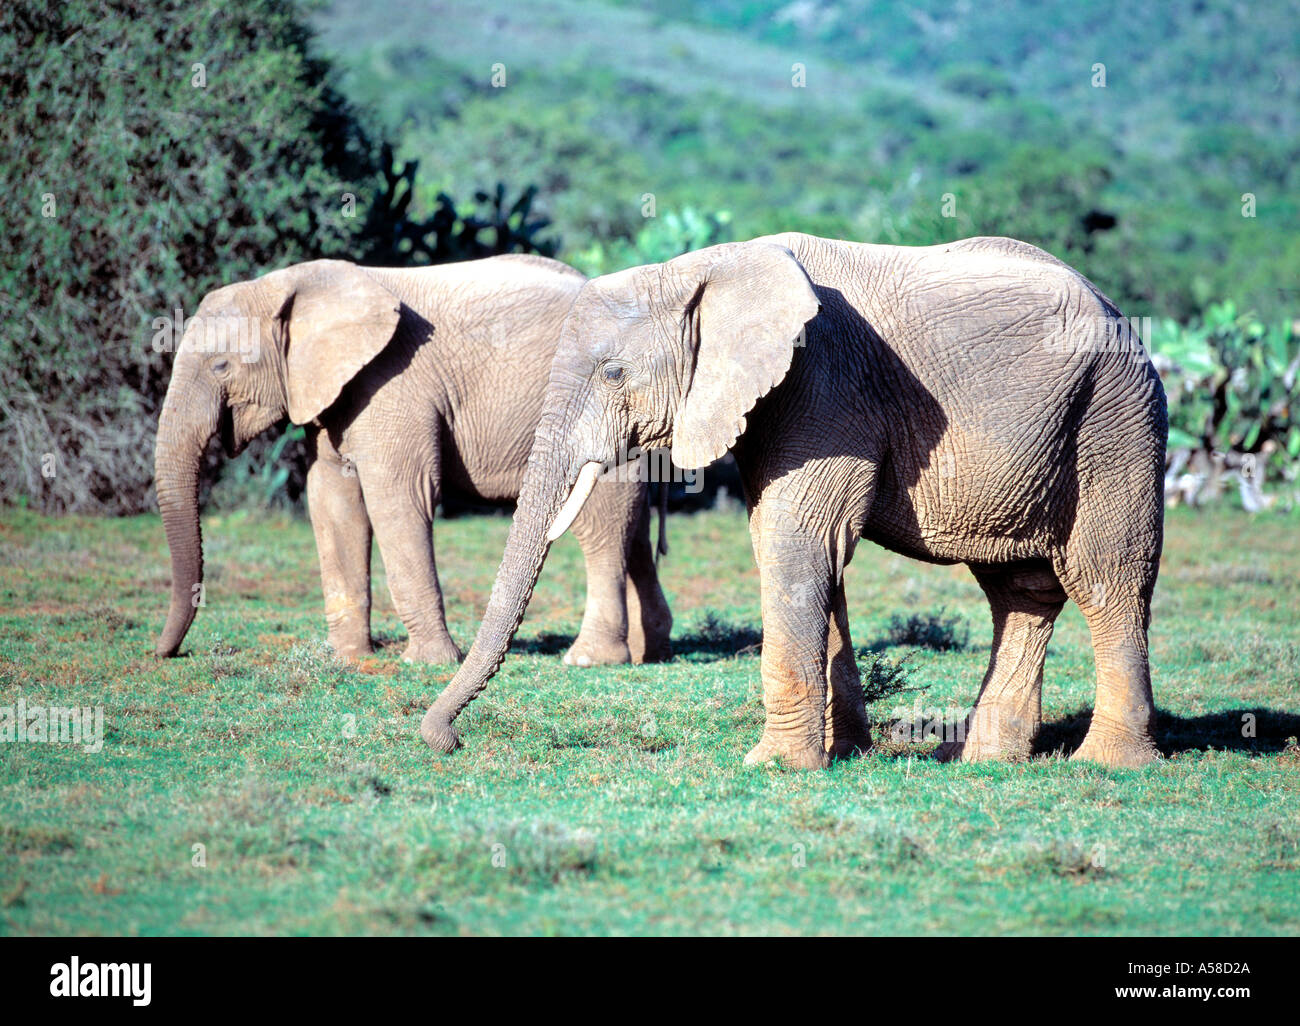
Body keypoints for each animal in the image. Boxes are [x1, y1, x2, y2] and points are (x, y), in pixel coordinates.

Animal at [157, 253, 676, 663]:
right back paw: (650, 652)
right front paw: (349, 660)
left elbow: (398, 498)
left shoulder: (394, 382)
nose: (165, 652)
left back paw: (591, 659)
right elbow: (332, 501)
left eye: (221, 366)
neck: (286, 285)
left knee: (602, 524)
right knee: (632, 528)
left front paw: (426, 663)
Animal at [423, 232, 1170, 769]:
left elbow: (798, 544)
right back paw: (982, 760)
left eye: (613, 373)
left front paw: (774, 767)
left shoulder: (823, 385)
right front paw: (846, 752)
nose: (446, 740)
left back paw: (1106, 765)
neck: (702, 268)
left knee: (1106, 578)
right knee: (1020, 590)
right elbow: (804, 550)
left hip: (1115, 420)